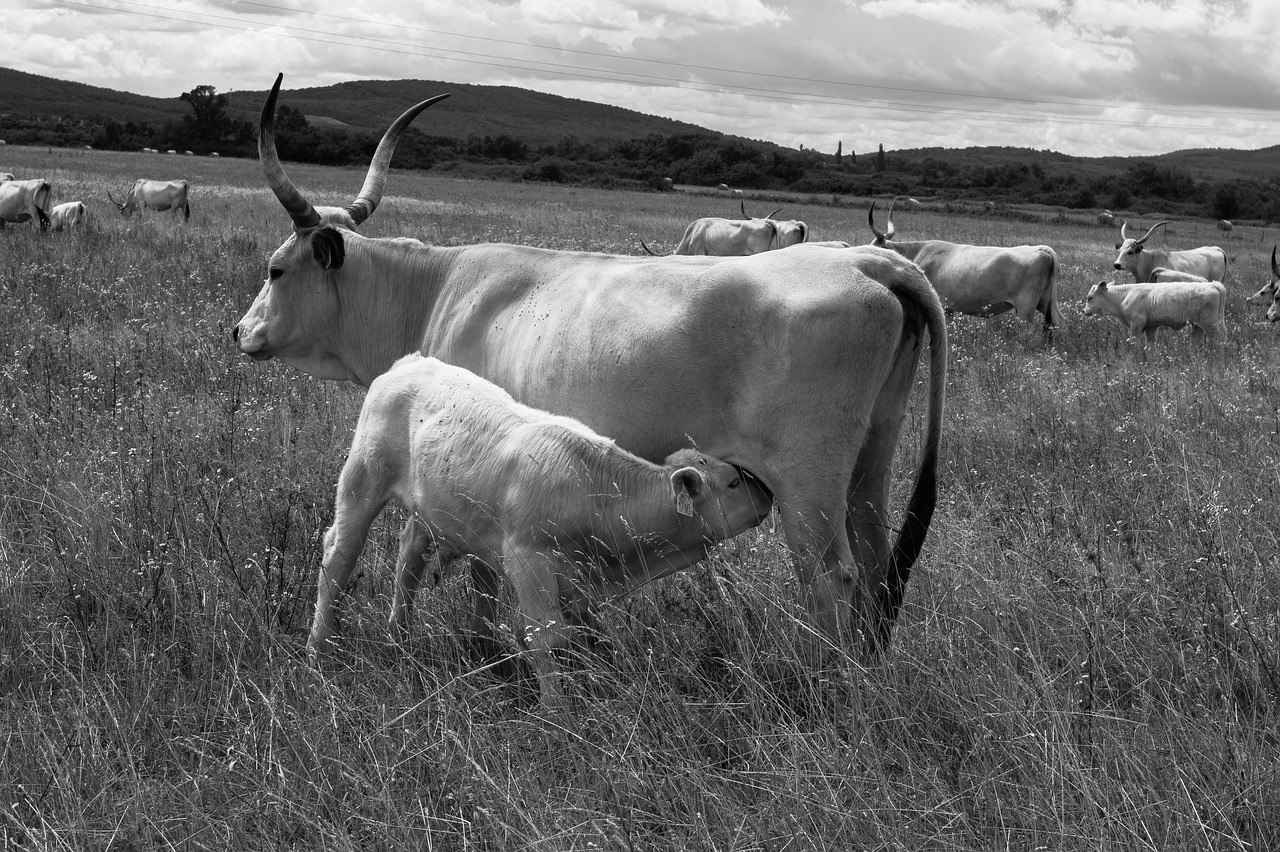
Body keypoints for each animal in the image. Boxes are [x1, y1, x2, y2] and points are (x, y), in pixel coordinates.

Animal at [235, 76, 947, 652]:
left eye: (276, 269)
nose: (240, 331)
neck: (435, 289)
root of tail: (870, 261)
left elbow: (438, 556)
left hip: (807, 484)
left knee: (833, 576)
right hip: (869, 463)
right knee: (879, 563)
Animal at [312, 350, 768, 701]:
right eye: (733, 481)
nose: (768, 494)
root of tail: (412, 362)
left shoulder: (580, 581)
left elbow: (586, 635)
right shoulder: (527, 559)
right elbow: (546, 637)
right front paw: (558, 712)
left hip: (430, 509)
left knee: (408, 557)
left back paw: (398, 637)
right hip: (362, 480)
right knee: (338, 557)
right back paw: (319, 652)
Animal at [865, 198, 1064, 335]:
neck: (916, 253)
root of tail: (1040, 248)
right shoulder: (948, 308)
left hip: (1025, 308)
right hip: (1046, 303)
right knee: (1056, 323)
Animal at [1085, 277, 1223, 347]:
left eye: (1090, 297)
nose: (1084, 311)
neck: (1124, 296)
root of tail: (1212, 285)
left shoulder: (1136, 324)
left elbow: (1134, 343)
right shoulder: (1151, 327)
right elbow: (1150, 344)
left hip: (1210, 324)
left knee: (1217, 339)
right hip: (1197, 325)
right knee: (1196, 342)